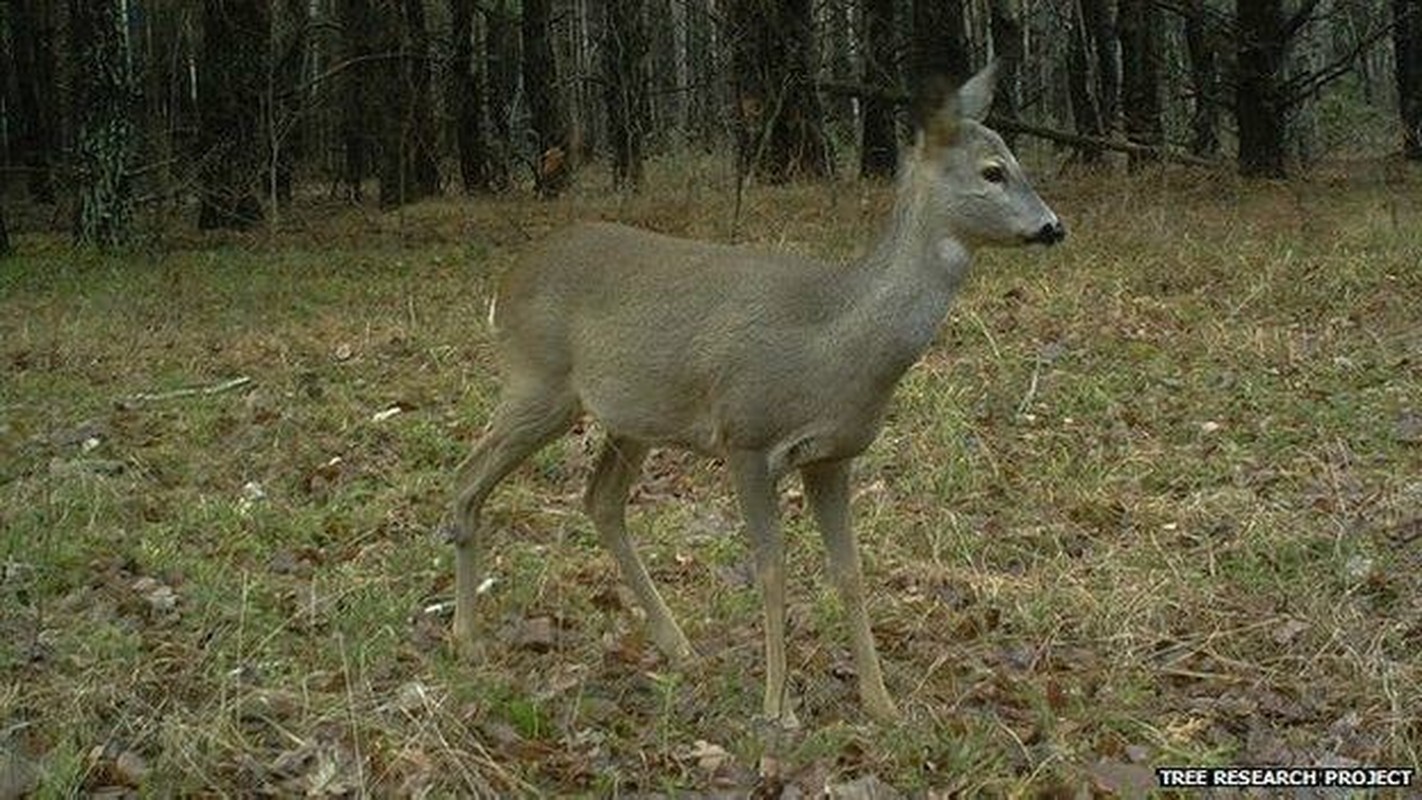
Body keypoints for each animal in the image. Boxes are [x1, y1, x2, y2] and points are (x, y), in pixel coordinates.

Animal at [449, 61, 1063, 727]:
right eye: (993, 171)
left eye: (1016, 159)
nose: (1053, 226)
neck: (840, 341)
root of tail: (506, 282)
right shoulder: (745, 435)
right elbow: (772, 569)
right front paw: (778, 706)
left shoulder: (832, 457)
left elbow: (850, 572)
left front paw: (882, 704)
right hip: (538, 382)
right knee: (467, 477)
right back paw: (468, 636)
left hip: (633, 416)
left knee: (601, 500)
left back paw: (679, 646)